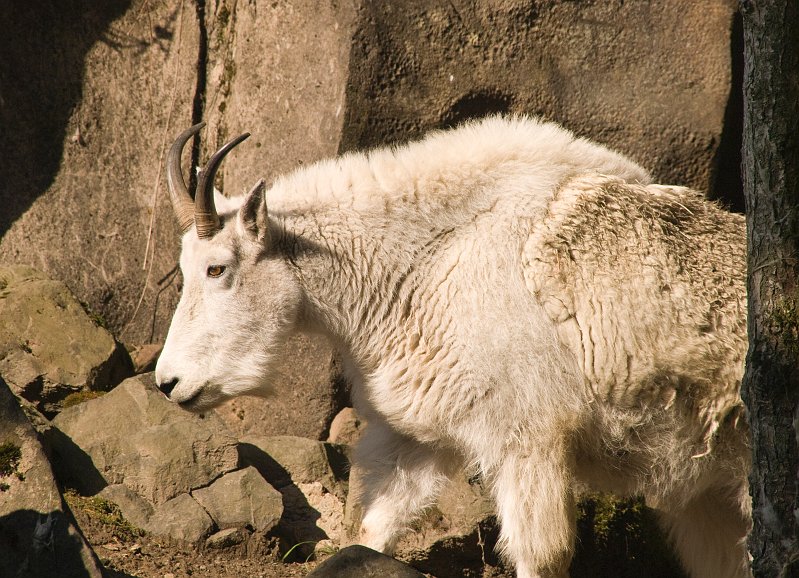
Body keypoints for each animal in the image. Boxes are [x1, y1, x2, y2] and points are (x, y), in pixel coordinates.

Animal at [155, 116, 750, 578]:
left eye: (216, 268)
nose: (169, 382)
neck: (429, 261)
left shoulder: (528, 441)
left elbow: (540, 556)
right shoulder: (416, 437)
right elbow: (372, 530)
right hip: (710, 495)